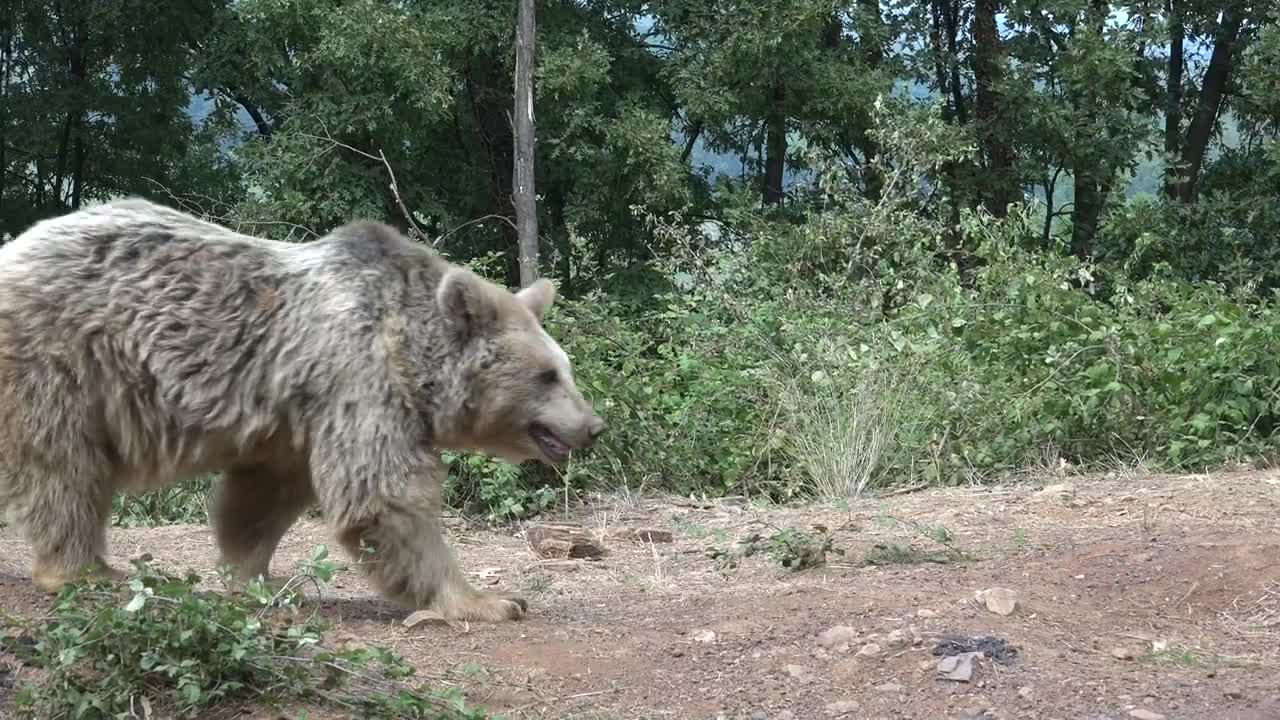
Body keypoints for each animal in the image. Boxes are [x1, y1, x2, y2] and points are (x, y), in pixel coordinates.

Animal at [0, 198, 604, 620]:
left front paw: (255, 577)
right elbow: (384, 496)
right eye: (547, 376)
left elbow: (261, 498)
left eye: (567, 368)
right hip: (63, 361)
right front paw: (486, 600)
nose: (593, 426)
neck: (411, 359)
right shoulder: (359, 382)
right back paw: (82, 570)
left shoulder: (294, 418)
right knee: (64, 466)